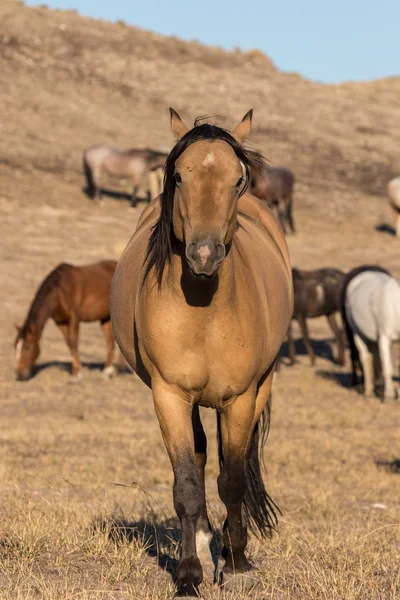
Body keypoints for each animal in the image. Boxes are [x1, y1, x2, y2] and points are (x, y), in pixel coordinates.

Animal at [111, 108, 292, 596]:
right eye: (178, 174)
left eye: (238, 179)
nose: (205, 254)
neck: (205, 312)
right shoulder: (169, 395)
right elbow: (187, 486)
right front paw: (190, 574)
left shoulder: (241, 399)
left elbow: (231, 480)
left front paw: (237, 561)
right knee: (198, 456)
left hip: (260, 388)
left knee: (231, 464)